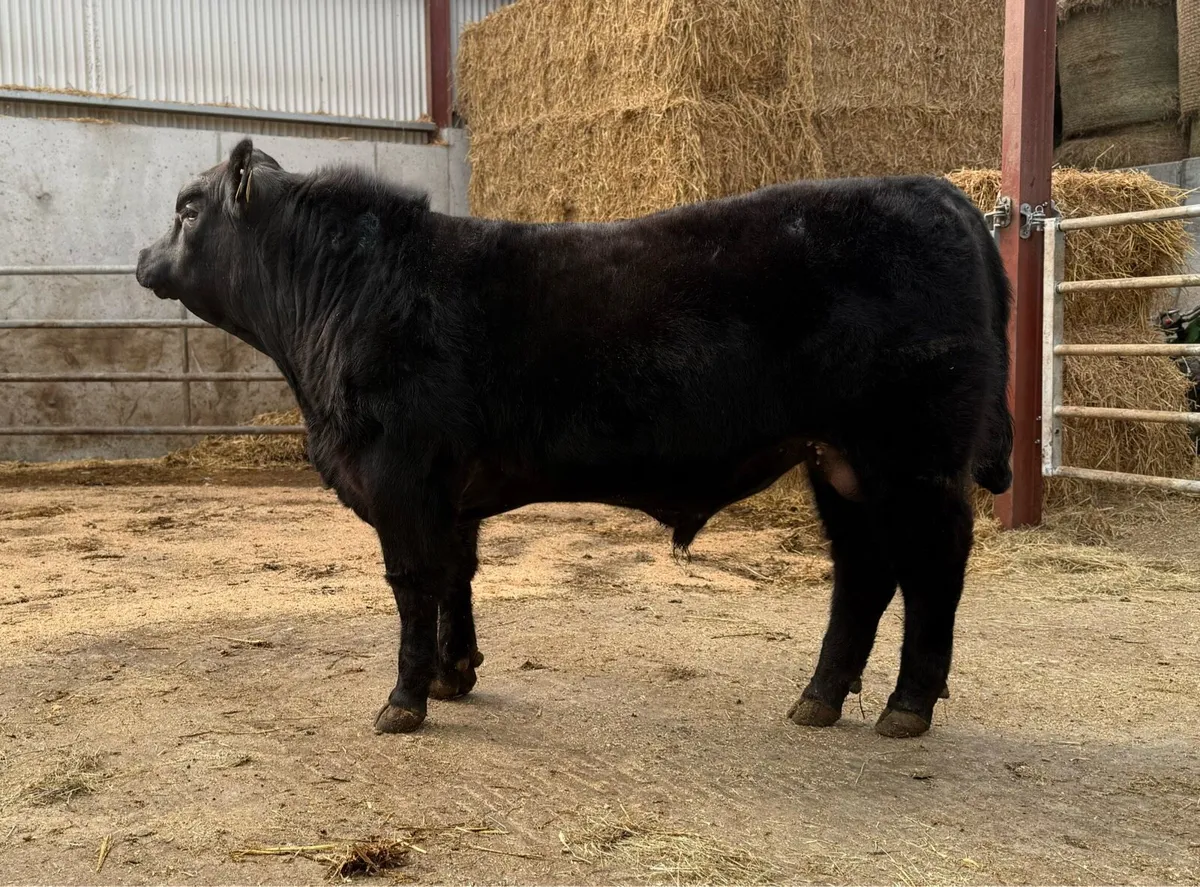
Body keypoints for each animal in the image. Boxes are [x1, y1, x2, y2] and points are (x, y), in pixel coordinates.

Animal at [136, 138, 1013, 740]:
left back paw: (905, 705)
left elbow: (414, 583)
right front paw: (455, 675)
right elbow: (457, 576)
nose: (143, 256)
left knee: (933, 569)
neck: (345, 295)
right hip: (840, 463)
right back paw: (819, 698)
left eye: (187, 207)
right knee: (863, 572)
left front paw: (404, 700)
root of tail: (936, 190)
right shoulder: (450, 490)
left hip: (912, 457)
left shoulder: (399, 474)